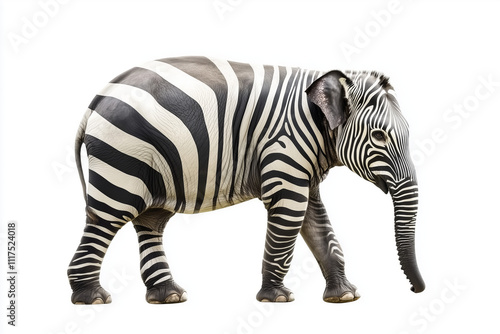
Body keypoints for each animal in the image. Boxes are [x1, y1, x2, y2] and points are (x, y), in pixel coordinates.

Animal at [67, 56, 426, 304]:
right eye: (379, 137)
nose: (416, 289)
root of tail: (95, 100)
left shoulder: (304, 169)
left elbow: (319, 226)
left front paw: (345, 296)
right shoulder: (282, 146)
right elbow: (291, 216)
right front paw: (277, 298)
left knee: (151, 222)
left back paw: (169, 296)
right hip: (123, 155)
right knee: (106, 219)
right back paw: (91, 298)